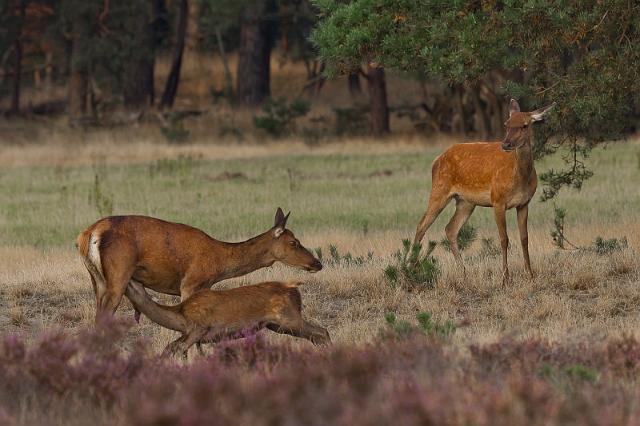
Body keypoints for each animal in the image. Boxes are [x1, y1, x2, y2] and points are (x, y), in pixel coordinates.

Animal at [77, 208, 322, 322]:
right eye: (294, 242)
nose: (317, 263)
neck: (218, 261)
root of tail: (88, 234)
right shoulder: (191, 283)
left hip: (96, 278)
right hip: (118, 273)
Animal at [125, 280, 332, 360]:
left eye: (130, 283)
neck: (180, 316)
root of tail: (295, 290)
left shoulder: (199, 328)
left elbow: (179, 348)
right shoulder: (192, 334)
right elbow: (171, 347)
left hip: (287, 318)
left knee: (322, 331)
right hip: (276, 324)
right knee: (316, 335)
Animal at [416, 98, 556, 282]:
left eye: (525, 125)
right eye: (506, 124)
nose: (506, 144)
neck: (520, 179)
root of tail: (436, 160)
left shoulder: (524, 203)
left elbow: (524, 238)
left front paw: (530, 274)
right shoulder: (497, 200)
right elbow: (504, 239)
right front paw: (505, 277)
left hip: (466, 202)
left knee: (450, 229)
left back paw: (464, 272)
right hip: (439, 189)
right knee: (421, 225)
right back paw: (410, 266)